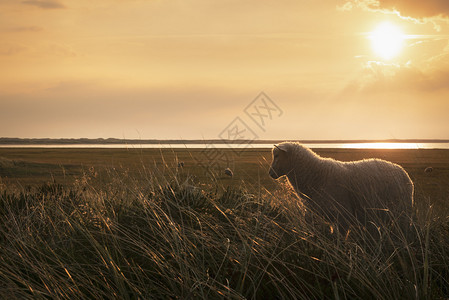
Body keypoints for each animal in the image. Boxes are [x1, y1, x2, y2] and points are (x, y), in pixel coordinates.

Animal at [268, 142, 414, 231]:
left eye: (277, 155)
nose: (270, 173)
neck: (317, 174)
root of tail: (403, 171)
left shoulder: (343, 216)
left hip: (403, 211)